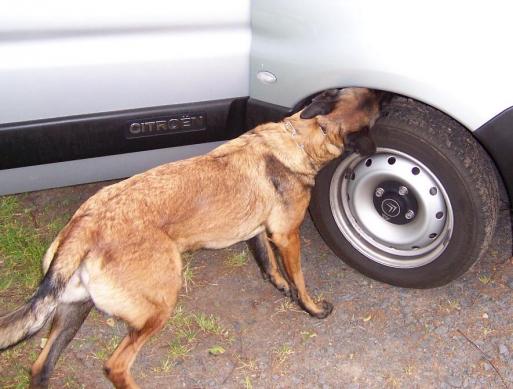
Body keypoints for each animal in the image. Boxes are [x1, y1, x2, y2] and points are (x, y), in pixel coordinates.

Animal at [0, 86, 382, 386]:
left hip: (74, 309)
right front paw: (311, 307)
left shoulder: (260, 231)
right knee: (115, 366)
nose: (386, 93)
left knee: (41, 368)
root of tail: (85, 224)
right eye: (377, 105)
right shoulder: (288, 235)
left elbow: (268, 265)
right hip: (159, 305)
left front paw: (280, 286)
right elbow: (299, 279)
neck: (300, 134)